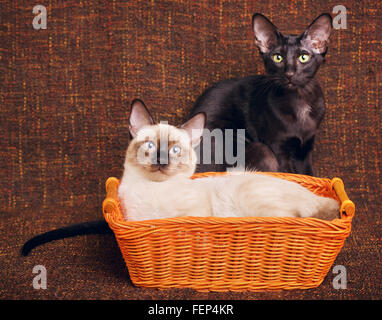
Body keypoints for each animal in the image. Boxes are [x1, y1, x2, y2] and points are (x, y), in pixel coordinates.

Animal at [118, 99, 338, 221]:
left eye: (175, 150)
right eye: (150, 146)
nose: (162, 160)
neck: (154, 189)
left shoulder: (194, 214)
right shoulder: (137, 221)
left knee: (293, 220)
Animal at [191, 12, 332, 175]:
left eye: (304, 57)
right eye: (278, 57)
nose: (289, 74)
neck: (299, 102)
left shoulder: (305, 148)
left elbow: (309, 174)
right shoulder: (277, 147)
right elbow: (287, 173)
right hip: (259, 149)